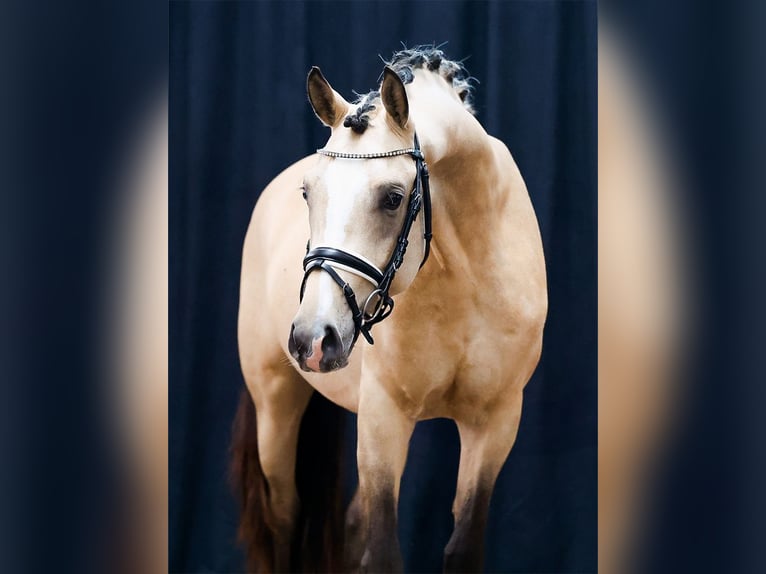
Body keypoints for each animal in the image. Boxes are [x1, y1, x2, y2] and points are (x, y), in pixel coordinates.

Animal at [232, 47, 544, 572]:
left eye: (393, 198)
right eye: (308, 193)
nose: (312, 339)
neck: (466, 283)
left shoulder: (495, 423)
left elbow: (462, 547)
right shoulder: (384, 417)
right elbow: (382, 552)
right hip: (276, 403)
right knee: (284, 520)